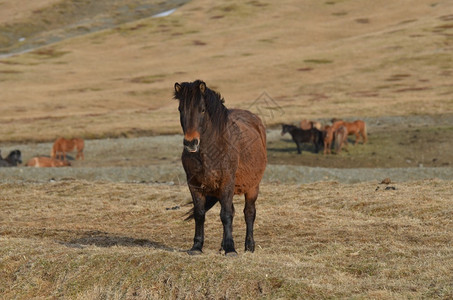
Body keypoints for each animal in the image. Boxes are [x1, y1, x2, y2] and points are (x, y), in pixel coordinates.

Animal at [172, 79, 264, 255]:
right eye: (180, 109)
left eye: (202, 109)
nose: (191, 143)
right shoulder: (194, 185)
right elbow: (200, 214)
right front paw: (197, 247)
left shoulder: (227, 182)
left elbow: (226, 215)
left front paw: (231, 249)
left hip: (252, 187)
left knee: (249, 213)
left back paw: (249, 246)